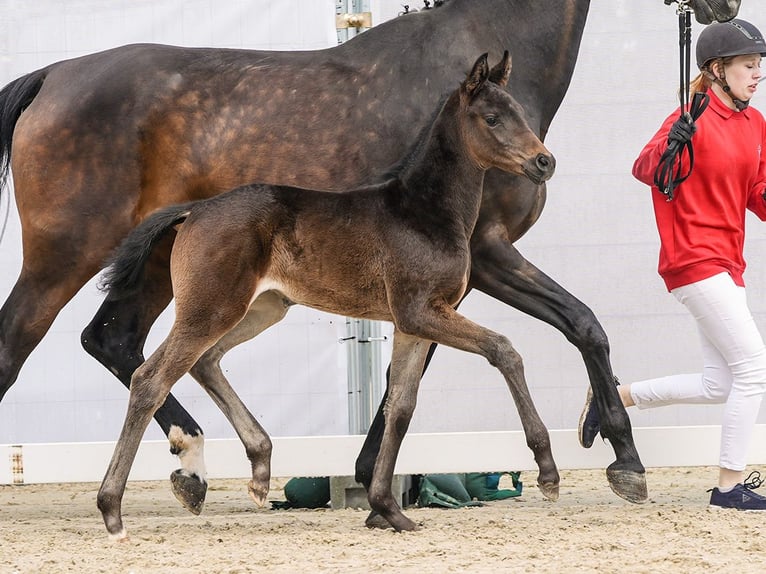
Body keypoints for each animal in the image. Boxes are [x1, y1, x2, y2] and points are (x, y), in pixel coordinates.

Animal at [0, 0, 740, 512]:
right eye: (492, 118)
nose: (728, 14)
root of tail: (52, 74)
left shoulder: (451, 282)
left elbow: (424, 372)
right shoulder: (486, 255)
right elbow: (576, 324)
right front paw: (624, 459)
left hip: (176, 273)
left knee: (118, 341)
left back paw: (196, 464)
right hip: (67, 257)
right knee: (30, 346)